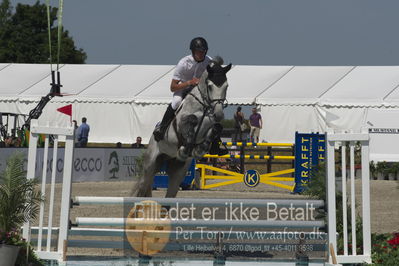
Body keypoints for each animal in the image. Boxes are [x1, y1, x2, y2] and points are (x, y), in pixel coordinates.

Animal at [134, 57, 231, 197]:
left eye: (226, 86)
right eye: (210, 86)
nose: (219, 114)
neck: (203, 107)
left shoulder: (211, 126)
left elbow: (216, 128)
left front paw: (198, 150)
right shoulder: (181, 123)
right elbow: (191, 120)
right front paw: (185, 149)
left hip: (178, 168)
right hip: (151, 163)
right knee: (144, 184)